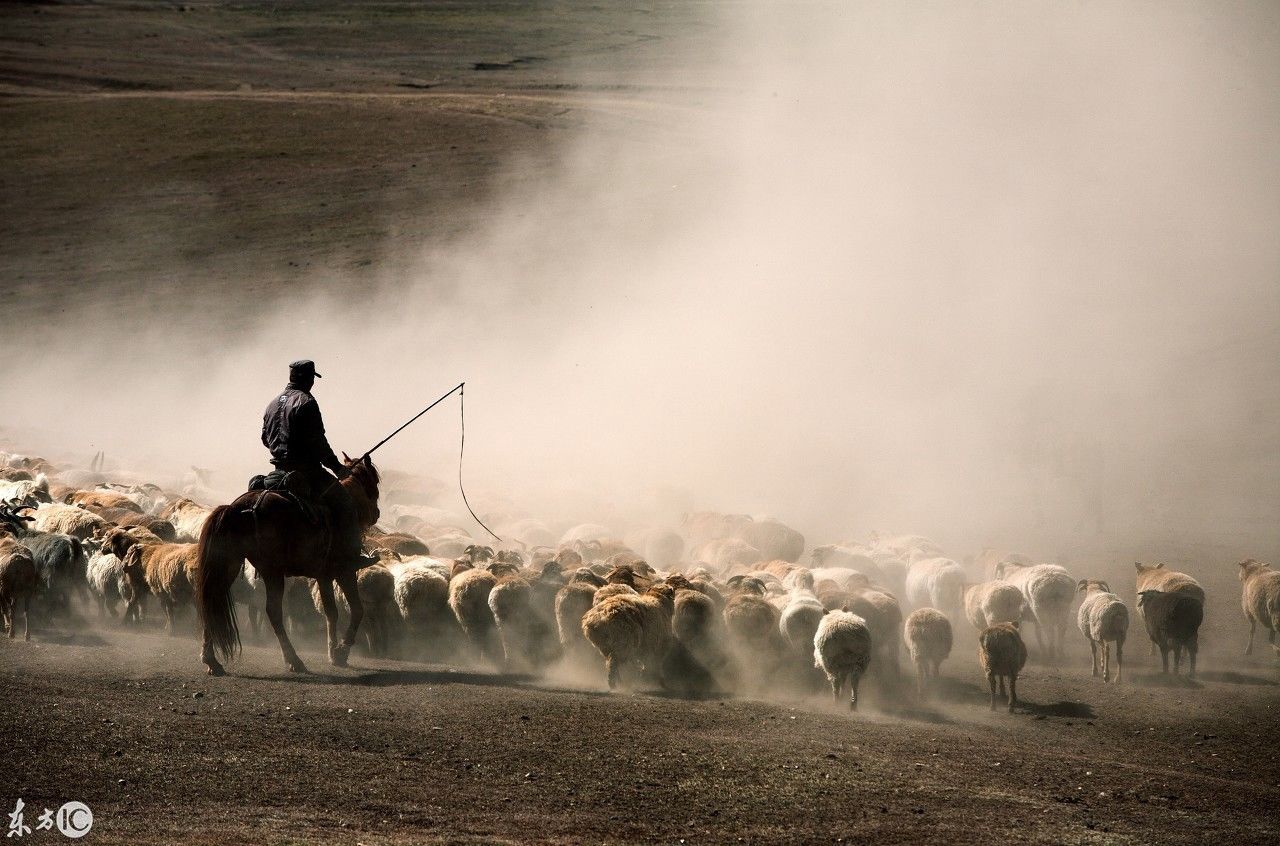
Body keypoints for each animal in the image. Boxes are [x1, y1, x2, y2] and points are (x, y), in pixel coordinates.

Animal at [192, 453, 376, 675]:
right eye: (373, 481)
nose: (376, 513)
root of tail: (238, 508)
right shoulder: (344, 572)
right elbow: (357, 610)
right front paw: (341, 651)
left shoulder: (323, 577)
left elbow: (330, 613)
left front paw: (333, 651)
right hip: (273, 572)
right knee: (273, 612)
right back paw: (293, 660)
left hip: (232, 565)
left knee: (213, 600)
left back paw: (210, 660)